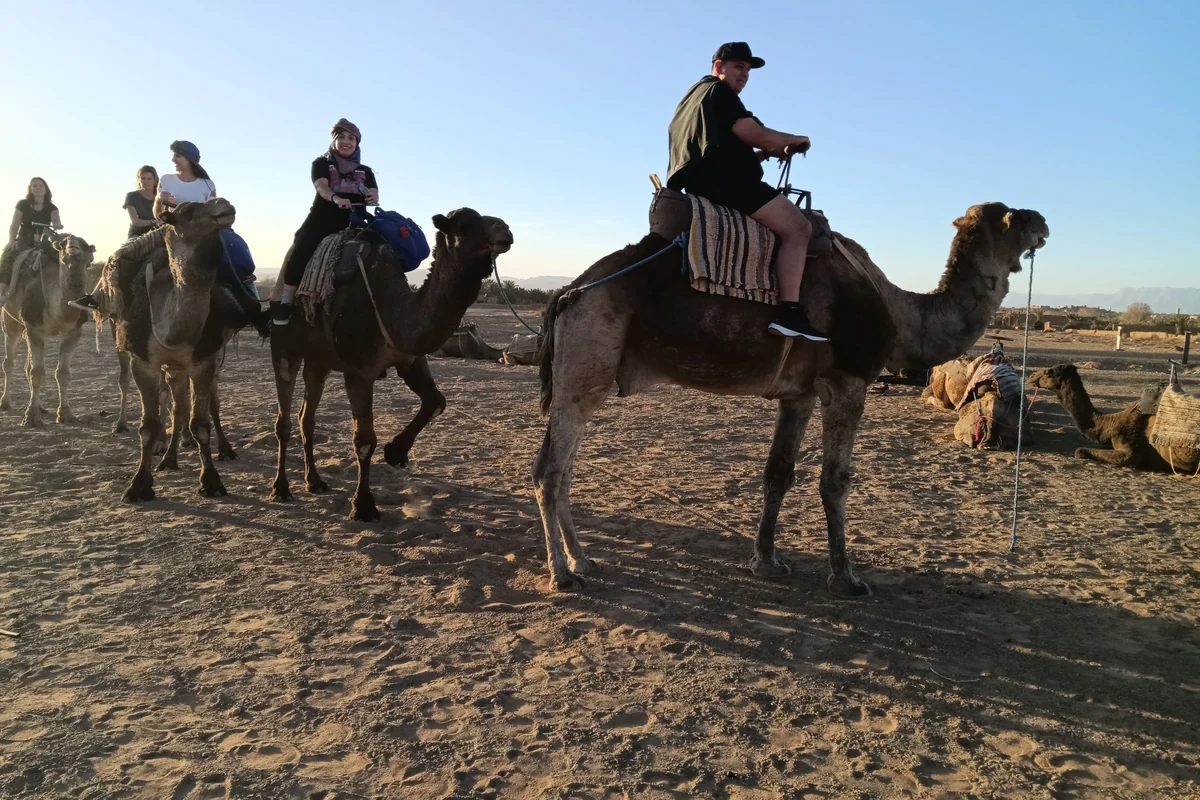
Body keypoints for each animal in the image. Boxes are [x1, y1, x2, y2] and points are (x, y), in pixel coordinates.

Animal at [1, 235, 95, 426]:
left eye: (88, 259)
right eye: (63, 249)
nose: (73, 251)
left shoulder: (74, 332)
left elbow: (63, 373)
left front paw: (66, 414)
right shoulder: (34, 328)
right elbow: (37, 373)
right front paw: (31, 417)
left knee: (26, 366)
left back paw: (42, 407)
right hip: (11, 321)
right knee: (9, 362)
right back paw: (5, 403)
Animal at [113, 198, 240, 502]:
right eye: (187, 211)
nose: (224, 205)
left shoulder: (203, 360)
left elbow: (201, 423)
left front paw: (211, 482)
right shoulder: (142, 362)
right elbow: (149, 426)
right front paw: (138, 486)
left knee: (207, 404)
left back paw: (225, 449)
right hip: (172, 367)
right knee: (178, 404)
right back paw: (168, 459)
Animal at [269, 208, 513, 520]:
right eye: (465, 225)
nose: (504, 230)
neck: (390, 309)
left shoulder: (410, 360)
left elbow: (436, 401)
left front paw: (396, 452)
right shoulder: (358, 373)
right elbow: (364, 439)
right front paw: (363, 506)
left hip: (318, 362)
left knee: (306, 418)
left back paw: (315, 482)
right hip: (284, 350)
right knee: (284, 420)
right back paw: (281, 489)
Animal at [534, 201, 1048, 594]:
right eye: (1012, 217)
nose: (1044, 221)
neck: (901, 312)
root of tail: (567, 293)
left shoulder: (797, 394)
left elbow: (778, 473)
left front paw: (765, 562)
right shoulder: (847, 382)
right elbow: (835, 480)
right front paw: (846, 579)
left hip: (584, 374)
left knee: (563, 469)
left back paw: (583, 560)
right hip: (585, 362)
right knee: (549, 472)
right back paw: (563, 574)